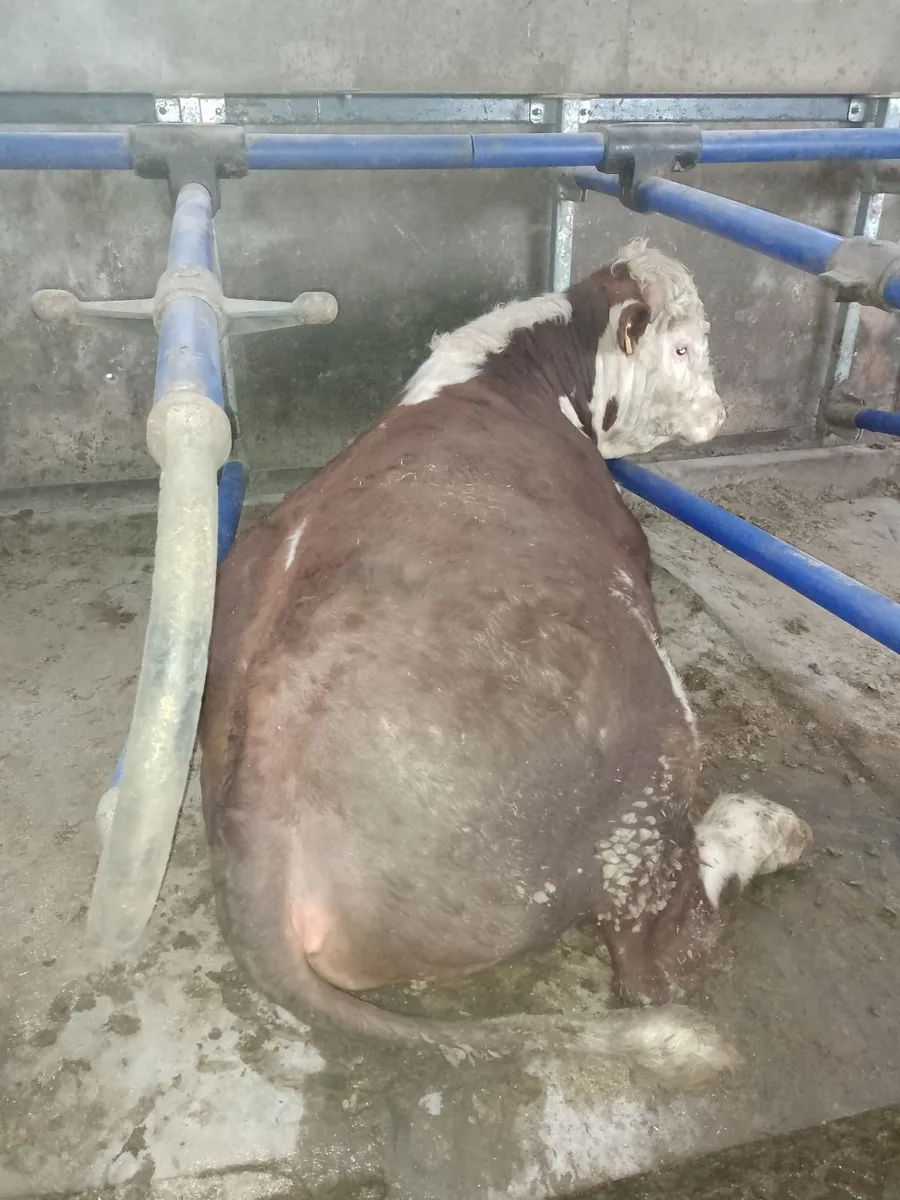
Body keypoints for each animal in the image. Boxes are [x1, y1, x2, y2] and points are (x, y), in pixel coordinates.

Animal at [199, 239, 812, 1083]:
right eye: (686, 347)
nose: (721, 413)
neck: (521, 372)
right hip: (647, 758)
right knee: (658, 955)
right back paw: (770, 828)